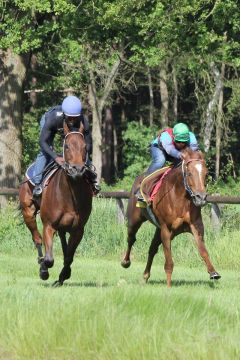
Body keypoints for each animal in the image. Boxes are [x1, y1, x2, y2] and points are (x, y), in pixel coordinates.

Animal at [19, 123, 93, 284]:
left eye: (85, 146)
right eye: (67, 146)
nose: (77, 169)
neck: (70, 195)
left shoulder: (78, 229)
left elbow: (69, 256)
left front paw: (63, 275)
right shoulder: (49, 225)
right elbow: (49, 259)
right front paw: (44, 270)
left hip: (64, 227)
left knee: (65, 247)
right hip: (28, 212)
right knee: (37, 239)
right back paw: (42, 265)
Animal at [121, 148, 220, 288]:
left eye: (206, 174)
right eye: (189, 173)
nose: (201, 197)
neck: (180, 198)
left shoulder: (195, 226)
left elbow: (203, 250)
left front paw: (213, 272)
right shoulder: (166, 229)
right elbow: (168, 260)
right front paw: (168, 286)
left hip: (159, 230)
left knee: (152, 249)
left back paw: (145, 276)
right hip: (134, 220)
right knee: (131, 239)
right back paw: (125, 262)